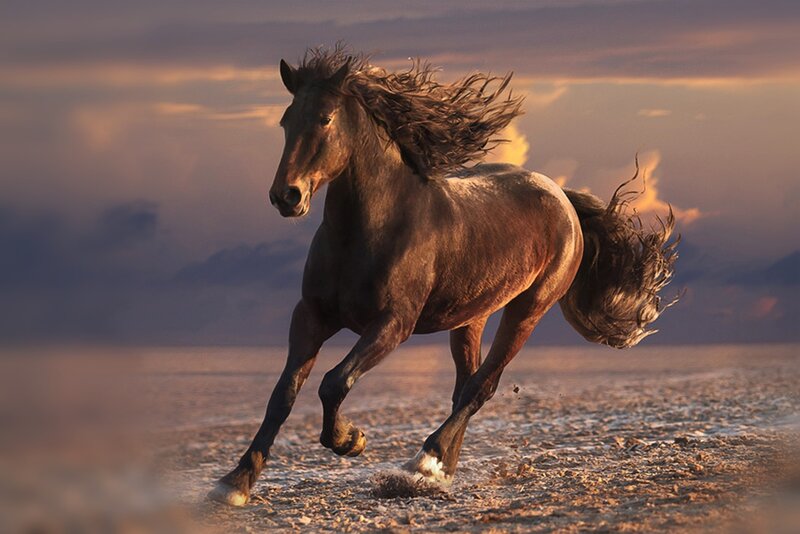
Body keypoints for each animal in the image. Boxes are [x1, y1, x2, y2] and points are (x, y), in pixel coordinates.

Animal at [209, 47, 678, 506]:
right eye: (286, 121)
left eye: (325, 118)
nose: (286, 196)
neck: (370, 229)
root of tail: (561, 197)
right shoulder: (311, 316)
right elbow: (283, 394)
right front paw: (235, 482)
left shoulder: (393, 324)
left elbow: (333, 382)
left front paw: (351, 440)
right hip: (471, 317)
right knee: (465, 385)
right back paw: (440, 469)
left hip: (528, 309)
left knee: (482, 385)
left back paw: (425, 462)